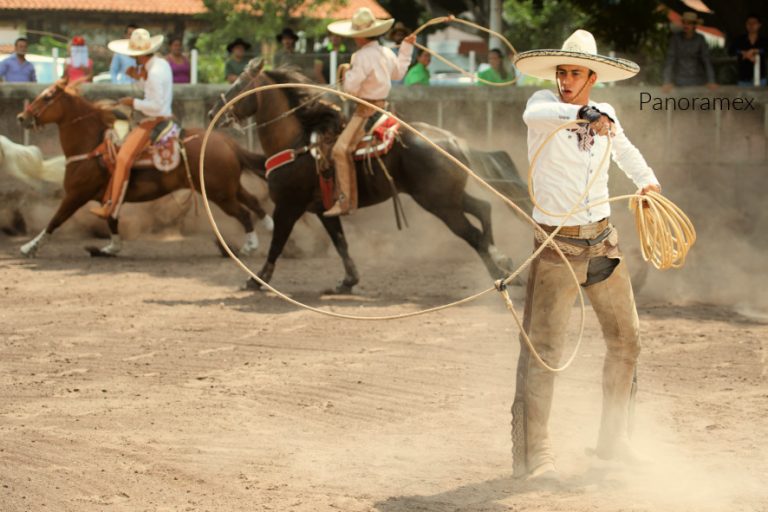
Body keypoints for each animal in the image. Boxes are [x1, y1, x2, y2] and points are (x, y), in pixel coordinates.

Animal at [15, 77, 272, 258]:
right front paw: (110, 248)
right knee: (253, 202)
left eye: (47, 96)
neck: (92, 145)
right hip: (228, 187)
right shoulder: (109, 197)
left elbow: (55, 220)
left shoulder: (76, 194)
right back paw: (268, 227)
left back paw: (249, 246)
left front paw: (29, 247)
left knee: (244, 213)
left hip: (219, 193)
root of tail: (227, 142)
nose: (21, 117)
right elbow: (112, 221)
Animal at [208, 59, 516, 292]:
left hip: (440, 204)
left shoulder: (288, 206)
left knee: (473, 235)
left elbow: (277, 243)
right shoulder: (323, 209)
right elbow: (341, 243)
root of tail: (453, 141)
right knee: (483, 209)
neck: (296, 143)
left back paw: (497, 272)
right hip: (448, 197)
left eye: (239, 86)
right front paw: (348, 281)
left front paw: (256, 280)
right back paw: (503, 259)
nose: (213, 112)